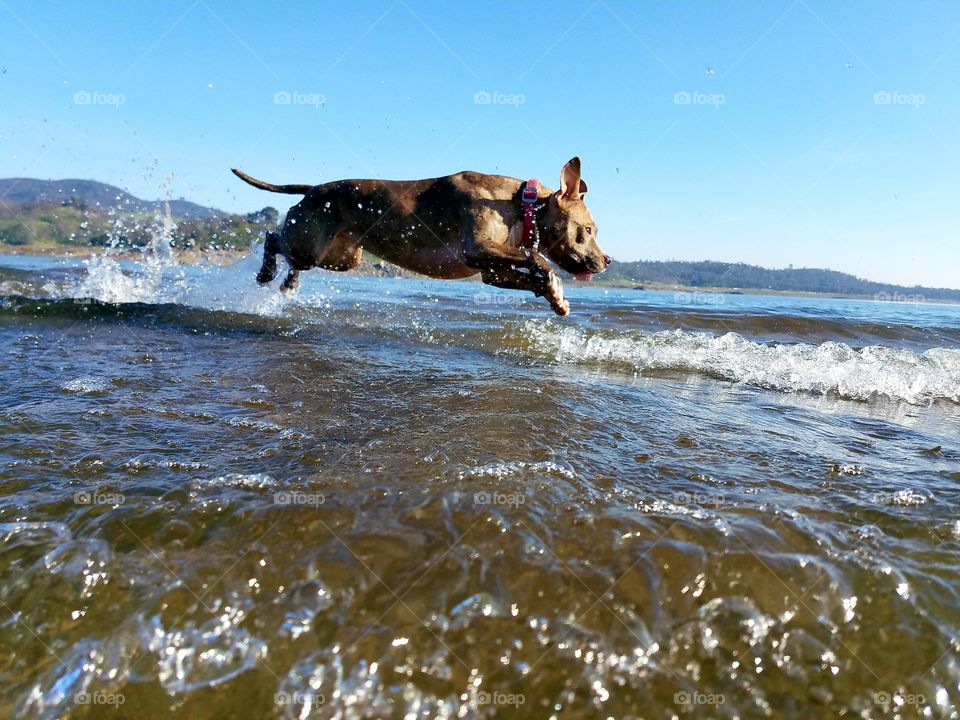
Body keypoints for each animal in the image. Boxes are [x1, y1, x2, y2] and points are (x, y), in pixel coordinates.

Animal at [229, 156, 612, 314]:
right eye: (588, 230)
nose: (607, 259)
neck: (522, 204)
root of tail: (312, 190)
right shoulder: (478, 248)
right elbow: (539, 260)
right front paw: (553, 280)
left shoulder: (492, 271)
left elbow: (534, 275)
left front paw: (557, 299)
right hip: (311, 244)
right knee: (272, 238)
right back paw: (266, 273)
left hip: (340, 256)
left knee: (290, 258)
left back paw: (288, 284)